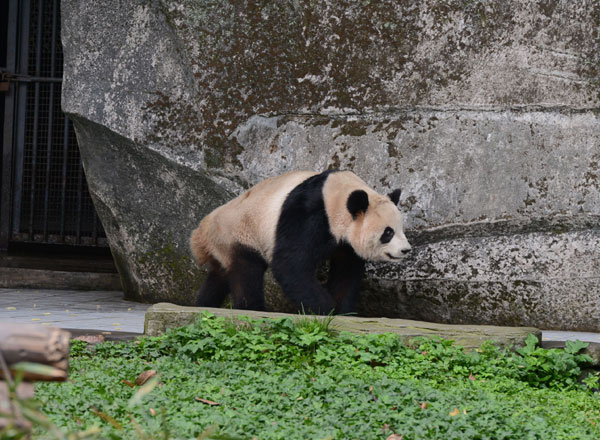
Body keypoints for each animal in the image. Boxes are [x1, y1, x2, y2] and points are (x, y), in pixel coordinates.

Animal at [191, 170, 412, 314]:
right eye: (388, 232)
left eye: (401, 229)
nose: (406, 250)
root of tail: (201, 232)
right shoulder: (309, 213)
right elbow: (291, 264)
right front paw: (326, 308)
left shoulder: (345, 242)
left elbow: (346, 271)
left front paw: (343, 310)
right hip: (240, 234)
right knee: (246, 272)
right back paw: (253, 308)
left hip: (224, 245)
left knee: (219, 276)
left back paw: (203, 303)